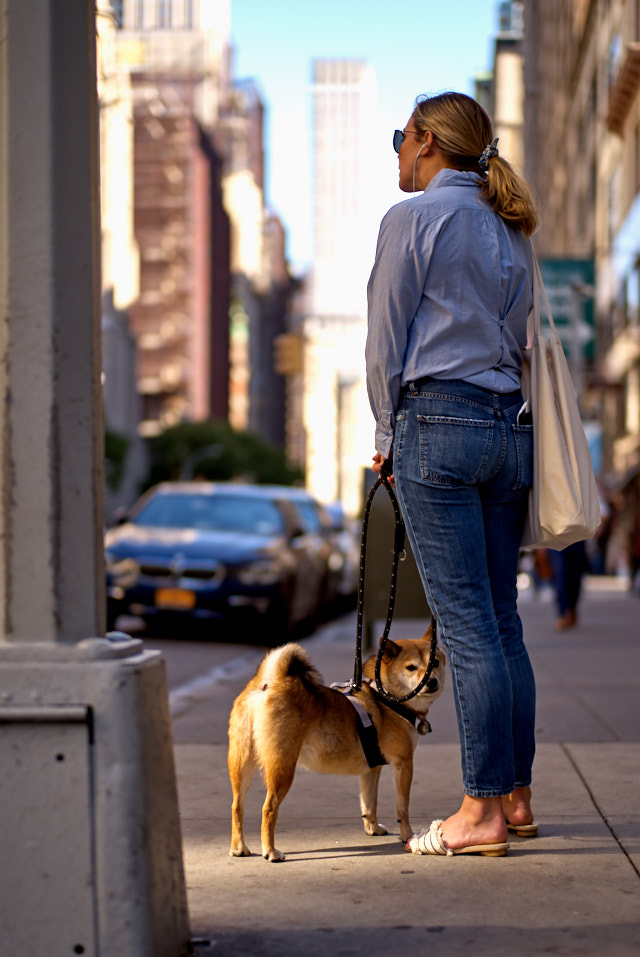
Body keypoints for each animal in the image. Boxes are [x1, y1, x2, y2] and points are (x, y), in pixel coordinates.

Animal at [228, 632, 442, 864]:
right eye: (411, 667)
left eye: (436, 663)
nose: (432, 681)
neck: (385, 697)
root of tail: (269, 682)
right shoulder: (403, 765)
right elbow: (402, 806)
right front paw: (407, 835)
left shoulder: (371, 770)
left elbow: (369, 804)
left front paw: (373, 828)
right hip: (282, 768)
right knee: (268, 808)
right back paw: (271, 851)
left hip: (241, 764)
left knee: (237, 806)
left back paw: (239, 848)